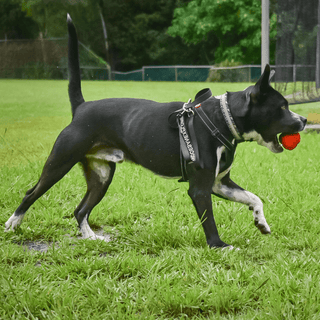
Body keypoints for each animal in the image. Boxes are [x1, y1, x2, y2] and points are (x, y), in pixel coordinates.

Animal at [4, 15, 304, 249]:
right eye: (282, 107)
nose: (302, 120)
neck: (221, 118)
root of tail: (81, 106)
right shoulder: (200, 188)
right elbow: (209, 220)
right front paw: (218, 246)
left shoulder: (220, 183)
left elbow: (254, 197)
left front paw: (261, 222)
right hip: (59, 162)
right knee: (30, 193)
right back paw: (12, 224)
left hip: (101, 176)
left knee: (80, 210)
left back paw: (91, 237)